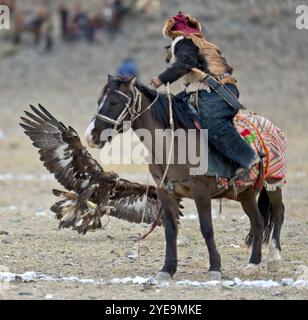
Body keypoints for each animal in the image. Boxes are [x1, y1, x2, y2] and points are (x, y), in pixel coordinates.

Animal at [85, 75, 286, 280]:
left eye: (114, 102)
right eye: (99, 101)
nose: (90, 135)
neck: (174, 145)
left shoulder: (201, 194)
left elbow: (207, 229)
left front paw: (215, 268)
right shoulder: (166, 194)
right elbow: (171, 230)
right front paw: (167, 269)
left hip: (273, 183)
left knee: (279, 212)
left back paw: (274, 259)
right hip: (246, 193)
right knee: (258, 222)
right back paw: (253, 264)